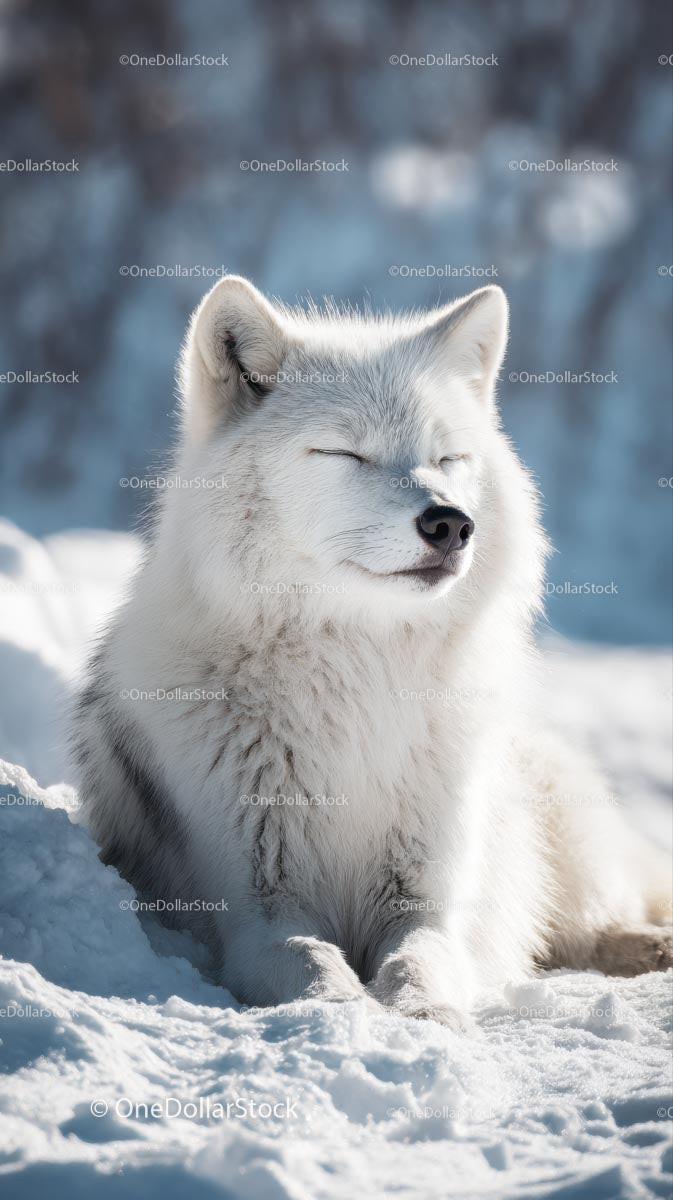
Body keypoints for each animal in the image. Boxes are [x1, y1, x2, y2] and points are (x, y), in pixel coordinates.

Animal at [76, 276, 672, 1030]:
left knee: (596, 925)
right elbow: (309, 957)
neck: (357, 677)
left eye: (447, 459)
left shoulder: (427, 899)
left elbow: (419, 959)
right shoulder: (255, 909)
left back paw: (649, 947)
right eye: (346, 454)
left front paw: (426, 1018)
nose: (450, 523)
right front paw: (342, 1012)